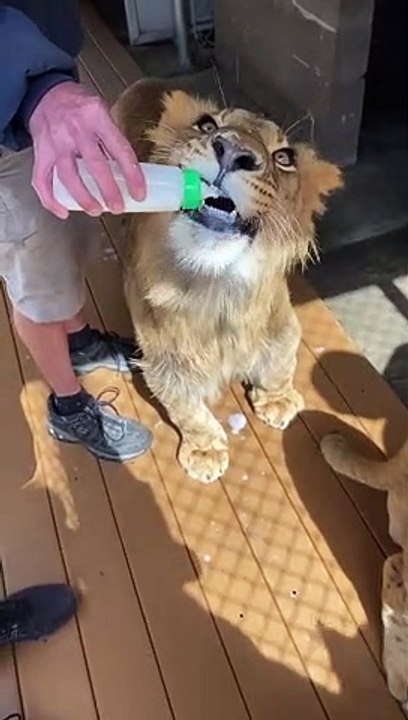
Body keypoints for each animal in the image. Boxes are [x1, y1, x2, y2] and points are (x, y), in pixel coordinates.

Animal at [113, 79, 342, 484]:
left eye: (285, 158)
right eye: (207, 125)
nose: (234, 150)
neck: (218, 287)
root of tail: (146, 81)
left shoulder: (282, 324)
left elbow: (280, 362)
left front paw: (278, 400)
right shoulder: (163, 363)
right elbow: (188, 411)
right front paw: (204, 451)